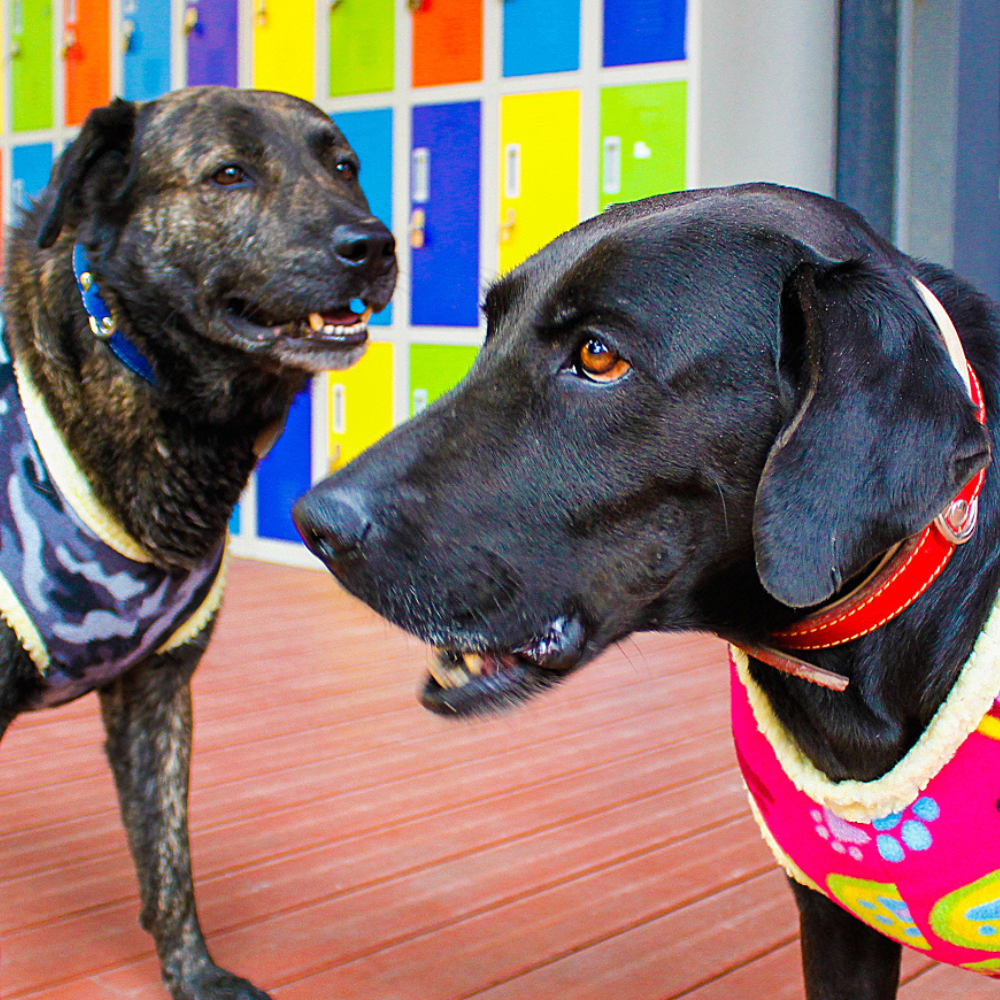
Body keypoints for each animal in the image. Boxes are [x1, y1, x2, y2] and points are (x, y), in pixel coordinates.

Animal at [1, 88, 396, 1000]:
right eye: (228, 173)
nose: (374, 246)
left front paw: (194, 974)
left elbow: (167, 854)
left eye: (344, 166)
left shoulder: (156, 692)